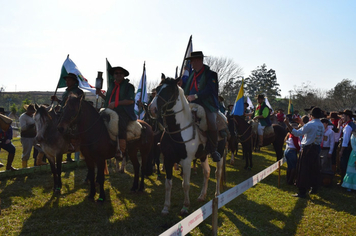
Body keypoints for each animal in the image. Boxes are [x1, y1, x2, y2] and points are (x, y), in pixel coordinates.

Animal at [148, 77, 225, 216]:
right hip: (203, 155)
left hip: (220, 154)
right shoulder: (168, 160)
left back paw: (217, 194)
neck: (178, 130)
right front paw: (166, 207)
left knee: (217, 173)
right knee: (207, 172)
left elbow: (186, 184)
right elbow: (168, 184)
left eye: (169, 90)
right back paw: (202, 196)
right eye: (157, 88)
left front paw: (185, 206)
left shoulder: (187, 161)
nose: (152, 109)